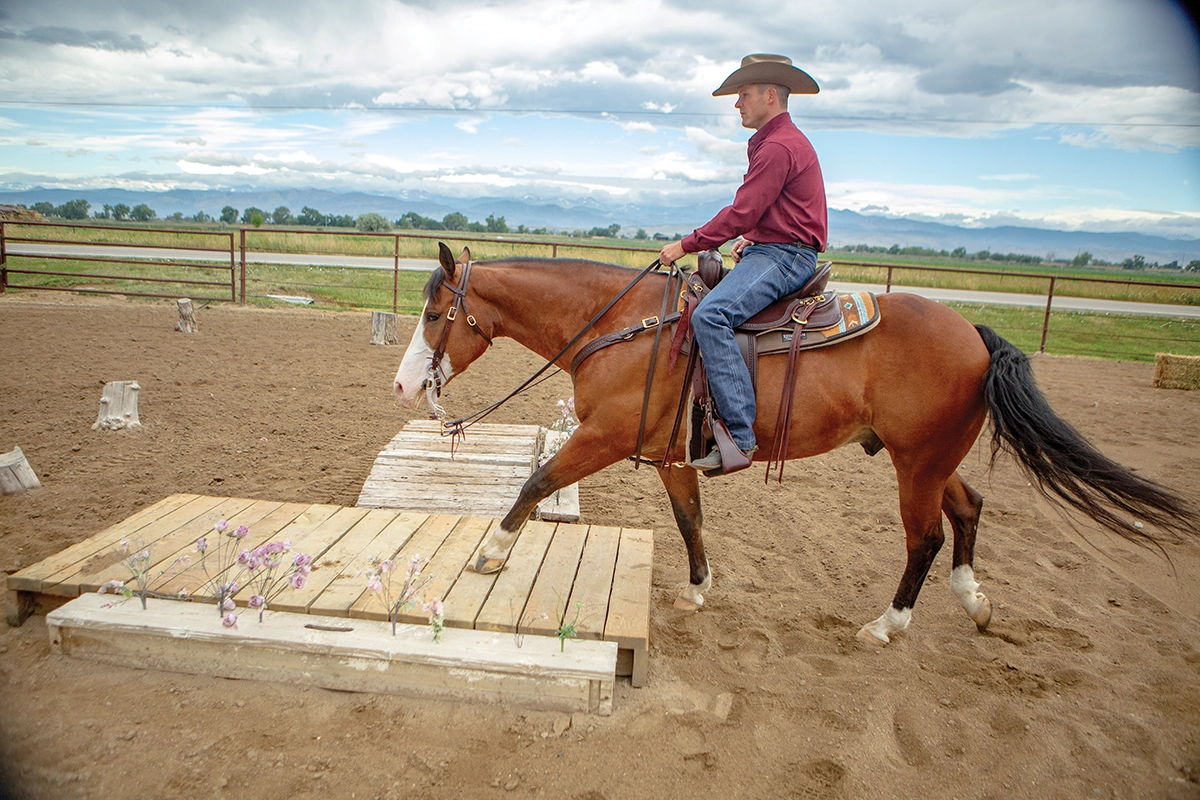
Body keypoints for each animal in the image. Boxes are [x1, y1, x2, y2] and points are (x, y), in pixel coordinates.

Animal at [393, 243, 1199, 645]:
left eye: (434, 313)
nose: (404, 386)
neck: (622, 327)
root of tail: (973, 330)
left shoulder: (604, 437)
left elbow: (536, 482)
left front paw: (489, 554)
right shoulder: (672, 455)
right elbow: (690, 519)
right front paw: (697, 589)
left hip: (917, 463)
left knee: (927, 537)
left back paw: (888, 625)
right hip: (931, 457)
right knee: (969, 509)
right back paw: (975, 605)